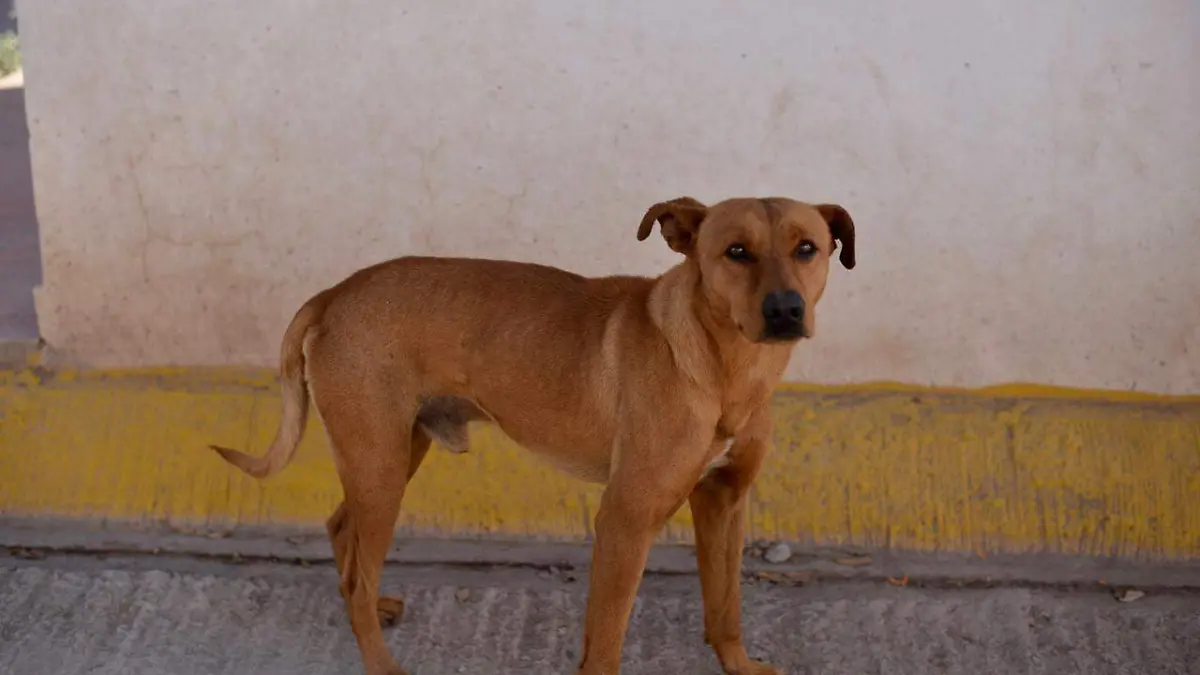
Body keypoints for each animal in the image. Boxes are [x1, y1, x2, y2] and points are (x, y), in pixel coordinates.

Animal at [211, 195, 856, 675]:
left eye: (807, 248)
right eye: (736, 252)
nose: (785, 310)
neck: (723, 368)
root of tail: (333, 295)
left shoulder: (724, 501)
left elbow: (726, 607)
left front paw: (738, 664)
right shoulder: (625, 519)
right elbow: (606, 638)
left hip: (393, 454)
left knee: (342, 532)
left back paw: (366, 611)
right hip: (381, 467)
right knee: (355, 568)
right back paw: (379, 657)